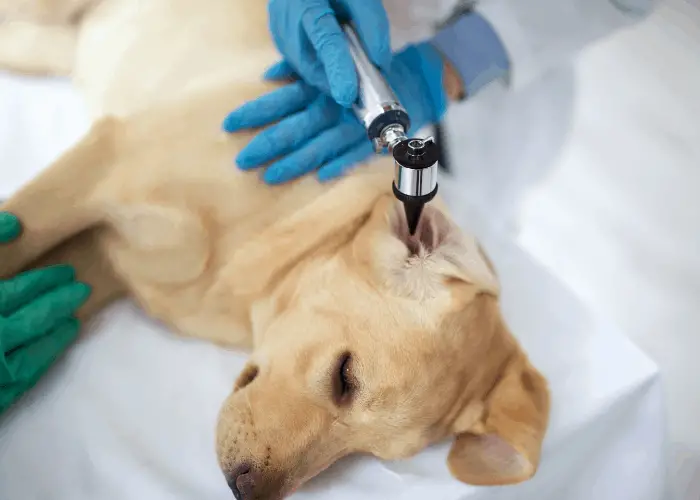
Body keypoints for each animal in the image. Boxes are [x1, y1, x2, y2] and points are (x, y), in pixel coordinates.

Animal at [0, 1, 548, 498]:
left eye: (367, 452)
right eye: (345, 375)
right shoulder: (102, 166)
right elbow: (17, 235)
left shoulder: (96, 264)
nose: (244, 491)